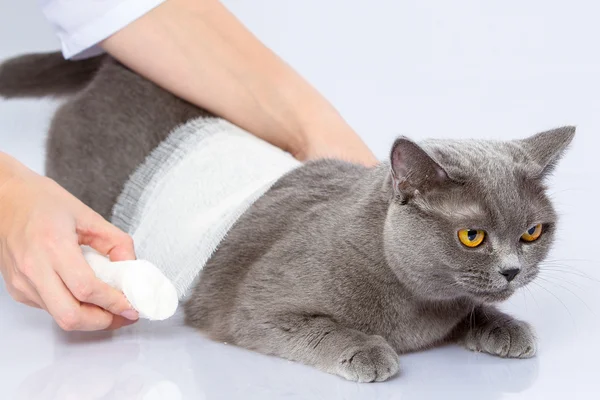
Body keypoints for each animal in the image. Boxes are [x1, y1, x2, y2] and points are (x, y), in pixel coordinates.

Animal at [0, 52, 572, 382]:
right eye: (472, 236)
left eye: (532, 232)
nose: (512, 270)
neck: (414, 307)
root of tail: (112, 68)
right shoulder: (259, 309)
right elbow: (319, 329)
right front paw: (368, 351)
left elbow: (474, 310)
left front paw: (505, 328)